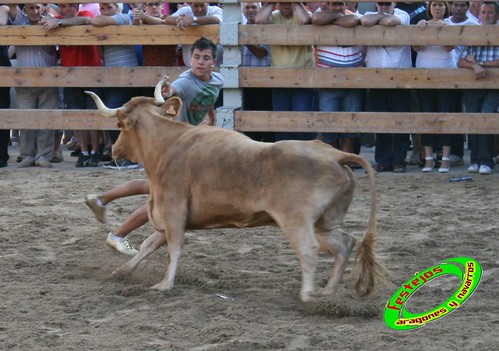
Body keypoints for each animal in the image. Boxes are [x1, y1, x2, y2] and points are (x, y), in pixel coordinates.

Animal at [86, 81, 384, 304]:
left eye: (119, 126)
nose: (114, 150)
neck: (168, 145)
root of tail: (335, 154)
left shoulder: (172, 209)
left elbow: (174, 247)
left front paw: (164, 284)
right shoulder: (170, 215)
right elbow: (150, 244)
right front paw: (121, 271)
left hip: (296, 221)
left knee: (309, 251)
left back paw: (308, 296)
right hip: (325, 223)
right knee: (344, 243)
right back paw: (328, 291)